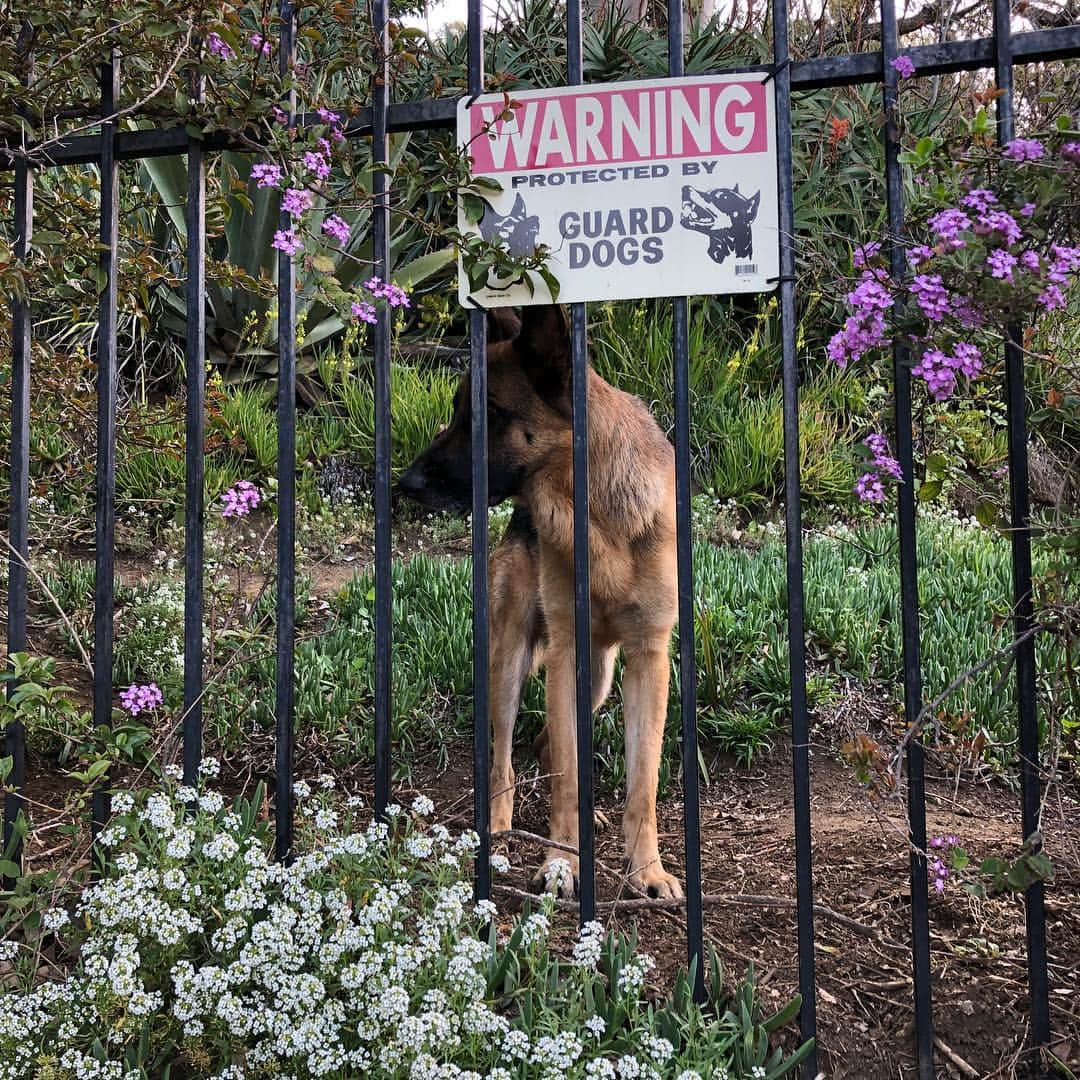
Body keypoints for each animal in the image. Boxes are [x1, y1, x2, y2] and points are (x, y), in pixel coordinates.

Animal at [401, 306, 678, 902]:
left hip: (596, 678)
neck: (598, 515)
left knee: (551, 746)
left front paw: (647, 870)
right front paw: (560, 865)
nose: (405, 483)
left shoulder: (648, 657)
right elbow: (566, 782)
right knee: (505, 758)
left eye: (488, 414)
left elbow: (642, 783)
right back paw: (500, 828)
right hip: (511, 662)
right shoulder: (564, 653)